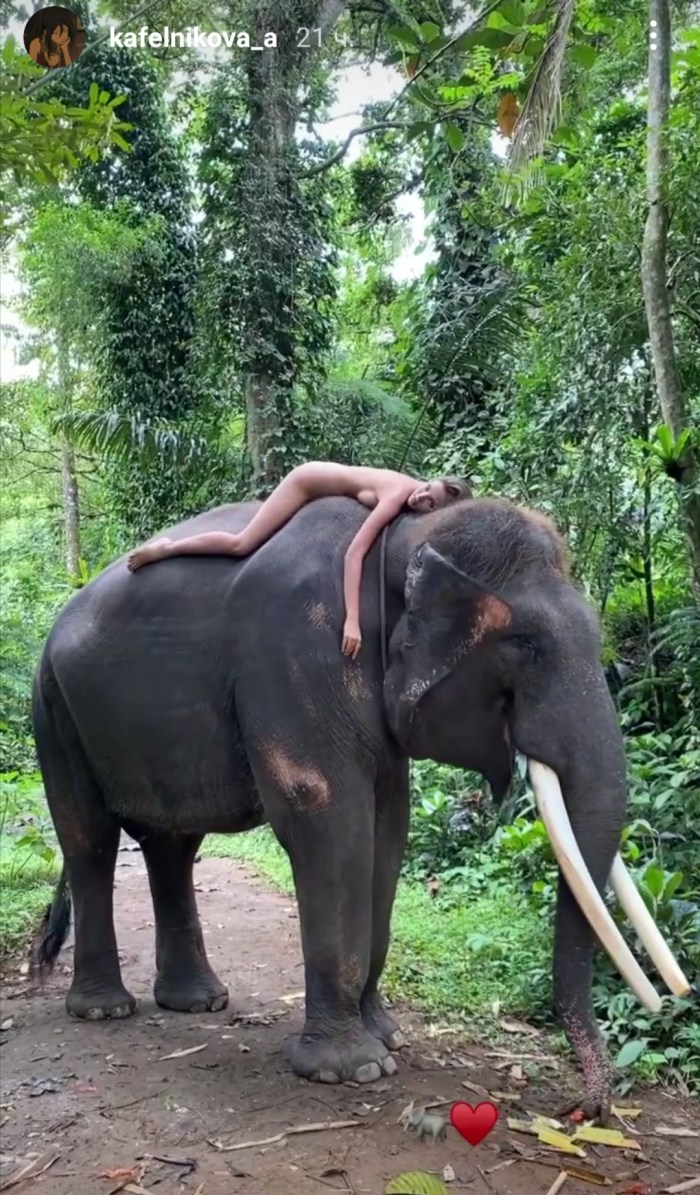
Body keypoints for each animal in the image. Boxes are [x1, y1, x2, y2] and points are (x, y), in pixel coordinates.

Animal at [31, 493, 689, 1119]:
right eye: (524, 645)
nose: (584, 1109)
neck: (403, 539)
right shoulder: (297, 650)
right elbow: (327, 818)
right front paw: (352, 1069)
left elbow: (389, 828)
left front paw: (388, 1038)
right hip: (53, 708)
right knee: (90, 840)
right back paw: (105, 1011)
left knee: (171, 844)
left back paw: (199, 1002)